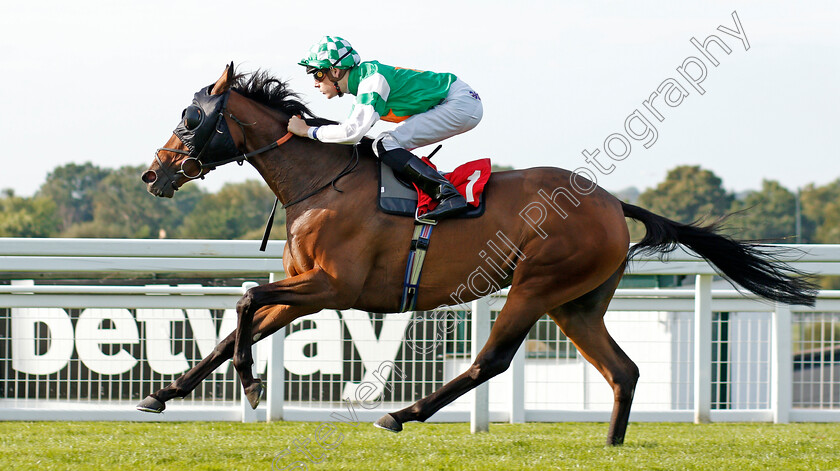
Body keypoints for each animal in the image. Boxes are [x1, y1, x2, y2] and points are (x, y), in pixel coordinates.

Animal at [139, 63, 812, 446]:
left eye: (192, 116)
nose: (153, 173)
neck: (319, 182)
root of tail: (612, 202)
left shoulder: (334, 287)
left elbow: (246, 301)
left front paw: (252, 386)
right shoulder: (306, 288)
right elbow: (237, 325)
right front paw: (162, 395)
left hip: (537, 285)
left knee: (491, 360)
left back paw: (401, 414)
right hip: (576, 304)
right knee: (623, 370)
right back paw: (611, 444)